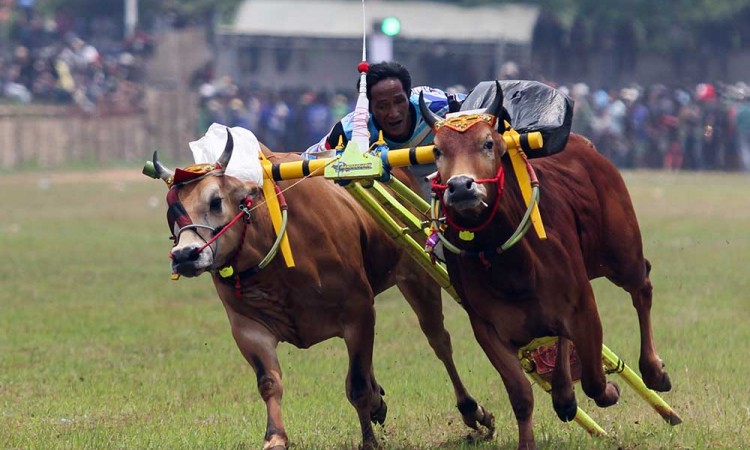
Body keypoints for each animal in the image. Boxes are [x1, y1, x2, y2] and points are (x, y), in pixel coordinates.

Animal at [150, 130, 496, 450]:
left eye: (215, 201)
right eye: (171, 210)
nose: (185, 255)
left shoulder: (358, 312)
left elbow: (357, 385)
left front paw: (369, 439)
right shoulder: (248, 328)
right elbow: (269, 382)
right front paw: (275, 438)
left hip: (416, 275)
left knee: (439, 342)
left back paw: (472, 411)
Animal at [420, 85, 672, 450]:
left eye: (488, 143)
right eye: (438, 150)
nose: (460, 186)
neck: (510, 265)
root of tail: (588, 147)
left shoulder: (583, 307)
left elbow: (595, 380)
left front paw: (611, 389)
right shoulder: (487, 327)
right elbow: (521, 395)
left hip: (621, 253)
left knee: (642, 286)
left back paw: (653, 370)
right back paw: (565, 395)